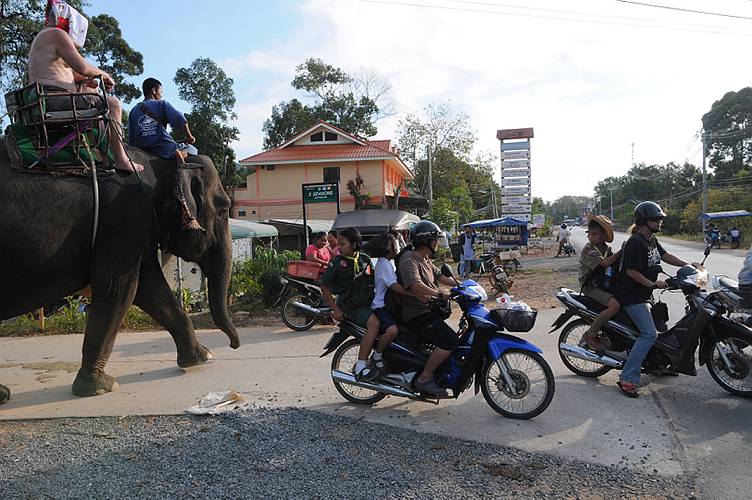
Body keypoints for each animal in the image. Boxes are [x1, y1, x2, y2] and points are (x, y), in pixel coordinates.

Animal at [0, 138, 238, 402]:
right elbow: (118, 288)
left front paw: (200, 358)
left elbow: (150, 289)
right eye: (224, 208)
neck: (160, 163)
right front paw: (101, 387)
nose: (233, 345)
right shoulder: (124, 218)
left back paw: (3, 394)